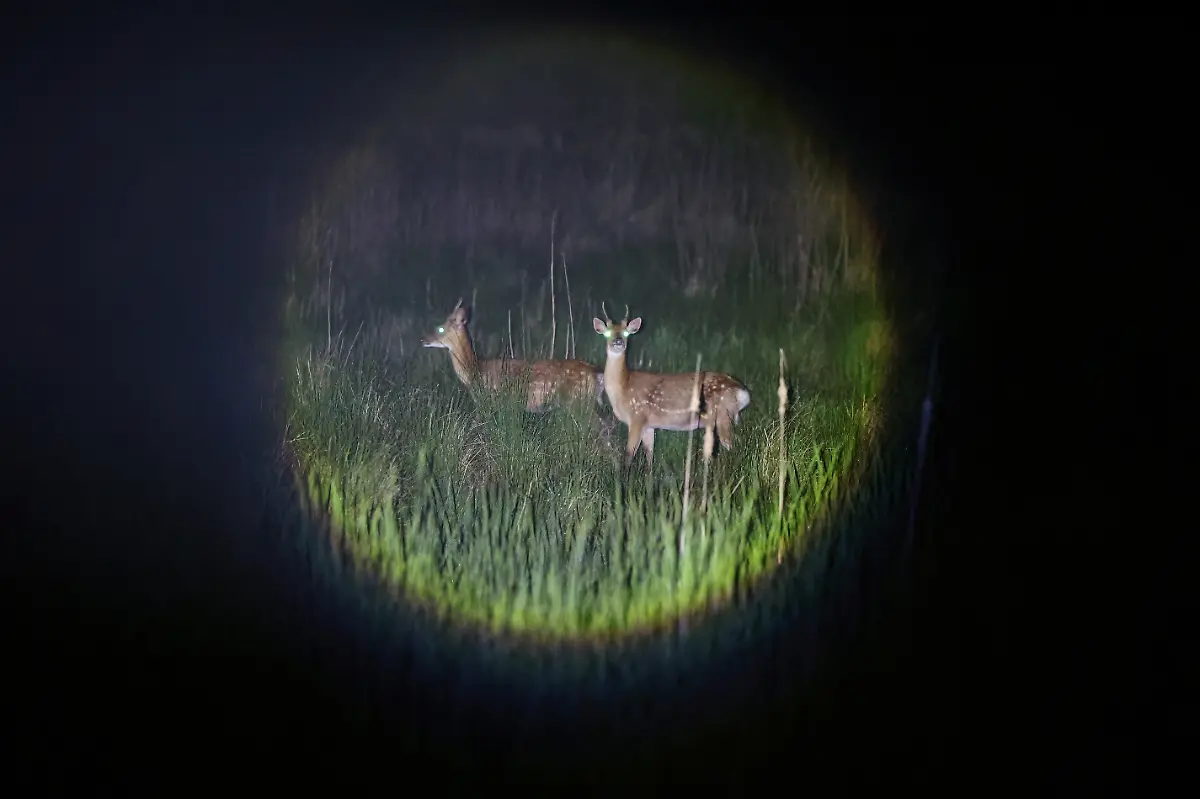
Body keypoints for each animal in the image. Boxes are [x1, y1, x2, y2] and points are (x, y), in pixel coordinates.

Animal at [422, 299, 607, 414]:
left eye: (440, 329)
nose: (423, 340)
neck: (474, 370)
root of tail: (598, 373)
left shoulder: (492, 400)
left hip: (578, 402)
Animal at [593, 303, 751, 470]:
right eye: (607, 333)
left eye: (626, 333)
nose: (618, 342)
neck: (623, 387)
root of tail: (743, 391)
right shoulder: (649, 425)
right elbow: (649, 456)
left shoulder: (637, 417)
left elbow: (629, 455)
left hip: (723, 415)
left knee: (734, 446)